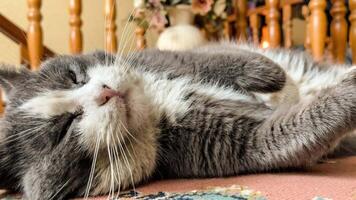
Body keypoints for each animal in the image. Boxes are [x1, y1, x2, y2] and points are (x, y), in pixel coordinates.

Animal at [0, 42, 354, 200]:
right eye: (62, 130)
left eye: (74, 76)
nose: (105, 92)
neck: (153, 108)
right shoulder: (232, 141)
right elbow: (293, 130)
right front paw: (348, 90)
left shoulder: (166, 58)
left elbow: (214, 57)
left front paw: (274, 79)